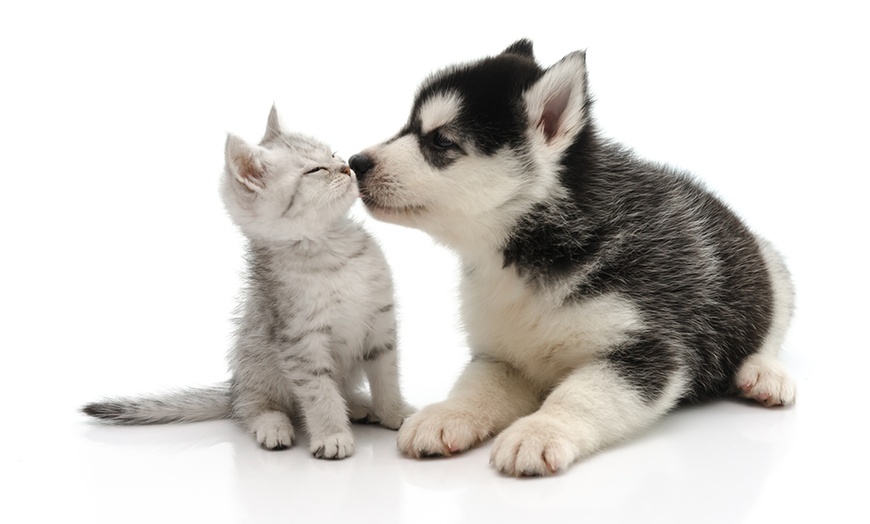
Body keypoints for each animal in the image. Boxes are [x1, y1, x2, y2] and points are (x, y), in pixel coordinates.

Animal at [83, 106, 414, 458]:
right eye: (315, 170)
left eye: (333, 154)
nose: (347, 167)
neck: (333, 249)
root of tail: (234, 388)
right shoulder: (301, 342)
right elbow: (319, 392)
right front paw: (332, 435)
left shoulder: (381, 324)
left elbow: (387, 376)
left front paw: (395, 413)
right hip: (256, 367)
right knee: (254, 409)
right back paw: (274, 426)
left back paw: (359, 405)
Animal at [350, 40, 800, 474]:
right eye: (408, 126)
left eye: (440, 140)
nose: (356, 162)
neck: (528, 251)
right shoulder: (501, 355)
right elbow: (477, 385)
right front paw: (446, 414)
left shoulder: (647, 347)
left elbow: (580, 395)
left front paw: (539, 431)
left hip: (769, 266)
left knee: (771, 328)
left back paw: (763, 373)